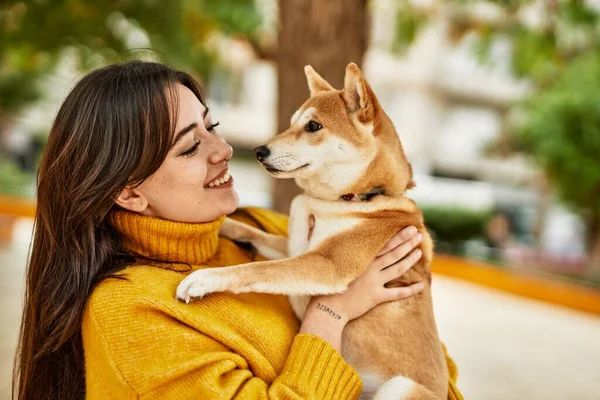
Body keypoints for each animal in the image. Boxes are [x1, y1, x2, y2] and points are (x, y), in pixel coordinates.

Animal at [176, 64, 448, 398]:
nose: (258, 150)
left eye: (314, 126)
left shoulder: (327, 265)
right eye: (292, 123)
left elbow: (259, 270)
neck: (360, 198)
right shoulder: (294, 246)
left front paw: (203, 279)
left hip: (401, 386)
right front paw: (221, 224)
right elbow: (253, 233)